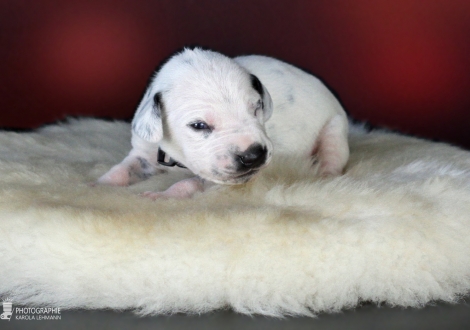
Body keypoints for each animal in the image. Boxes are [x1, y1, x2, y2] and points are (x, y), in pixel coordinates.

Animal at [97, 48, 350, 199]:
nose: (253, 155)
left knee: (332, 157)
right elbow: (123, 169)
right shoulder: (145, 150)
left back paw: (325, 176)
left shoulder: (221, 177)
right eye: (199, 126)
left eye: (256, 107)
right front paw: (98, 185)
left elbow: (190, 183)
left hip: (334, 129)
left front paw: (164, 195)